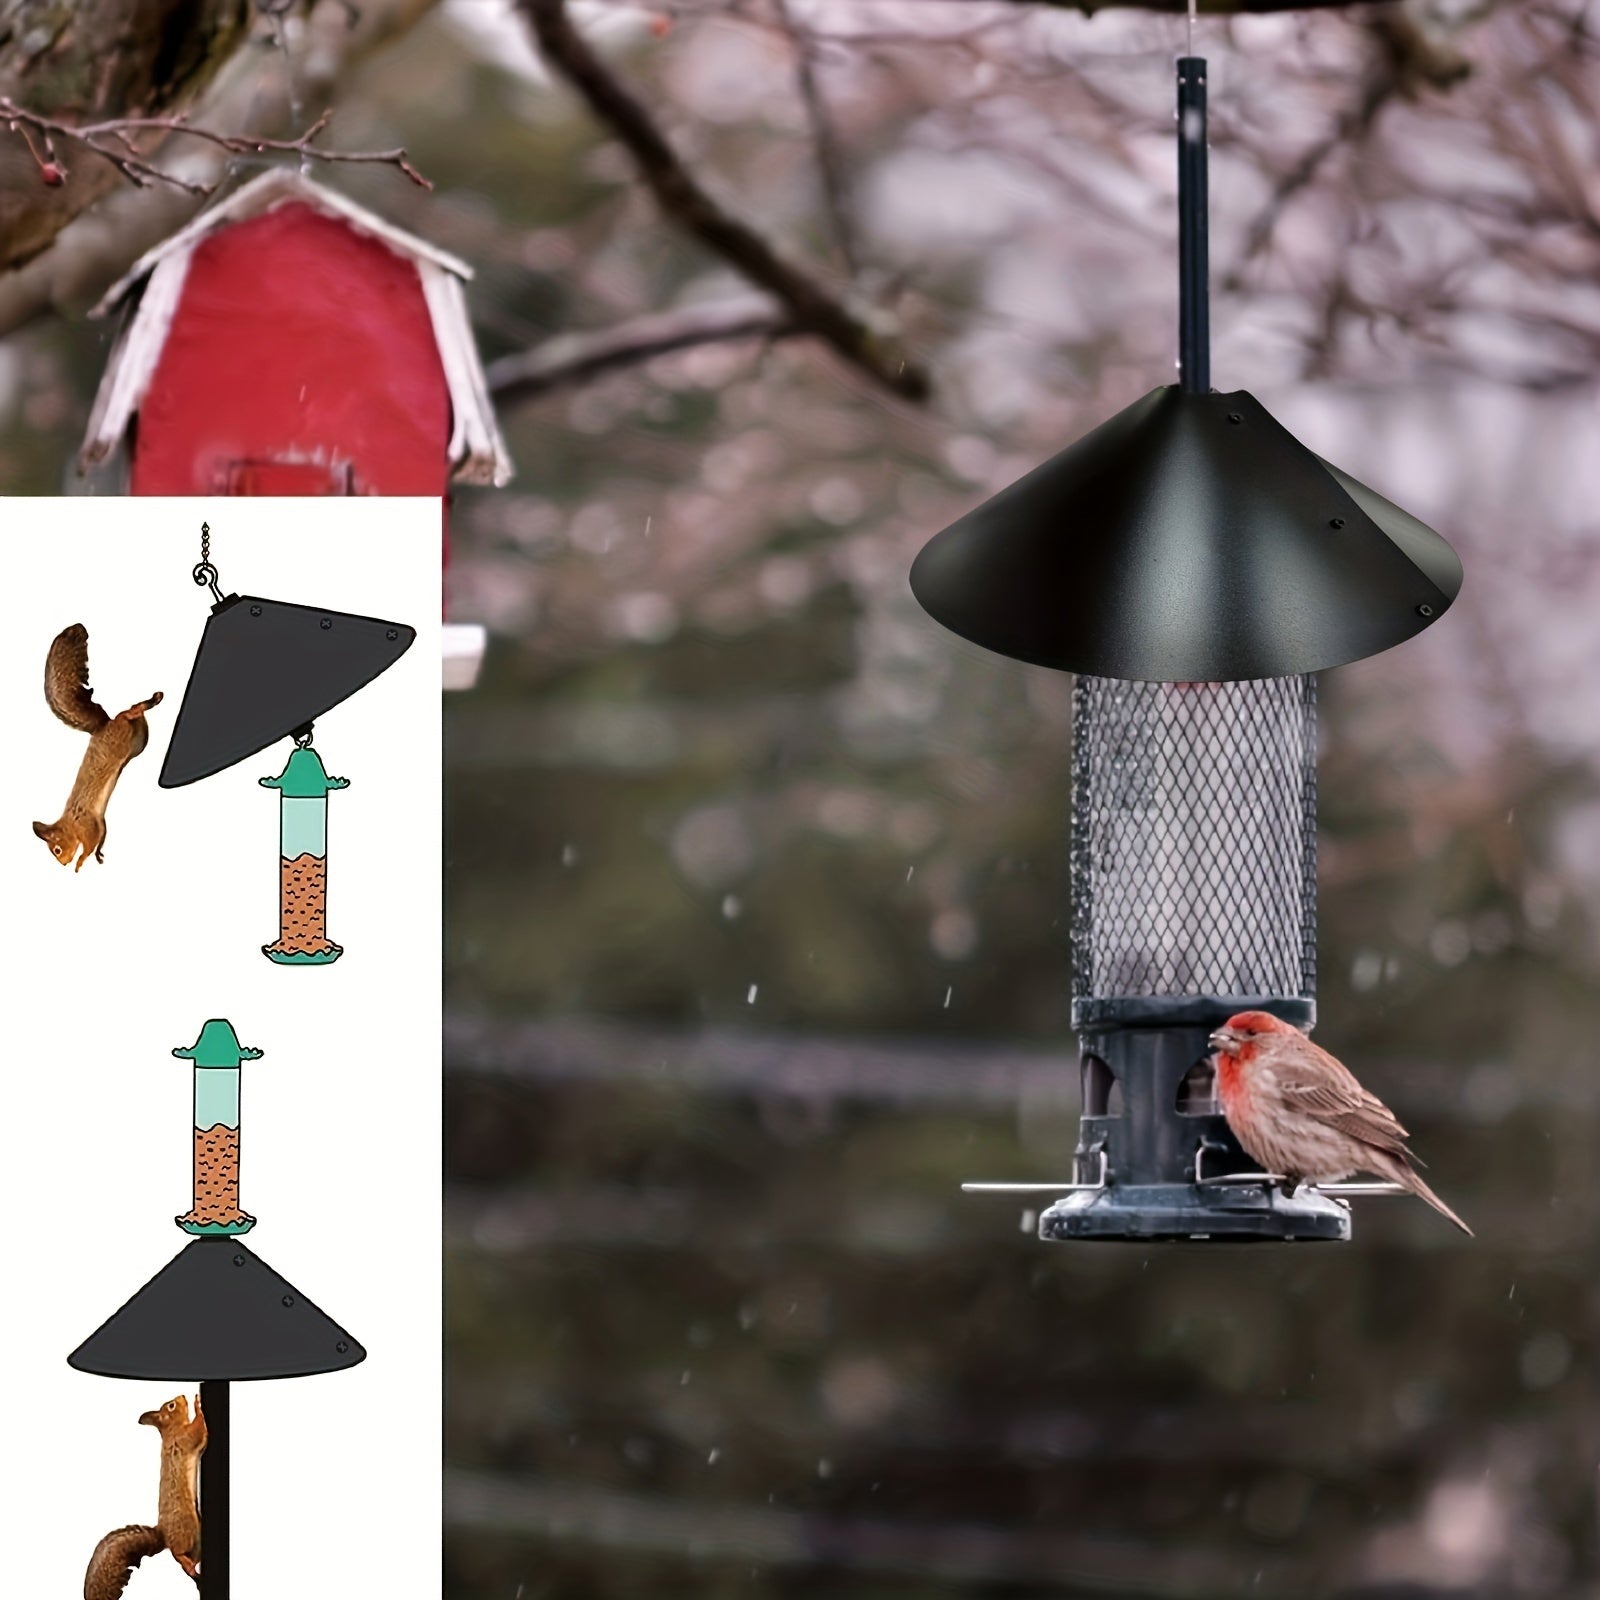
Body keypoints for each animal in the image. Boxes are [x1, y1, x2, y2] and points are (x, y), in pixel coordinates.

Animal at [34, 623, 162, 870]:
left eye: (56, 849)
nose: (63, 864)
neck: (71, 821)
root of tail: (103, 725)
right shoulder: (100, 822)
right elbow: (102, 836)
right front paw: (98, 856)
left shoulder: (86, 824)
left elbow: (90, 843)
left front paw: (80, 862)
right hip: (139, 738)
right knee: (135, 713)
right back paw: (151, 701)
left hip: (121, 733)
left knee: (127, 713)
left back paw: (149, 701)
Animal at [84, 1393, 206, 1600]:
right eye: (171, 1406)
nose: (182, 1396)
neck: (172, 1430)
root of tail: (163, 1535)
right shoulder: (185, 1438)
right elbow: (199, 1429)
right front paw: (198, 1406)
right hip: (187, 1526)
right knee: (178, 1554)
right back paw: (186, 1562)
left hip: (196, 1535)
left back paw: (195, 1568)